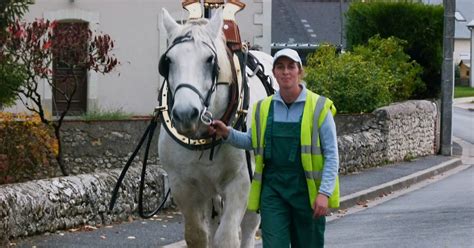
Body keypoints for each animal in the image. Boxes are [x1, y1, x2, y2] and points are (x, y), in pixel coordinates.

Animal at [159, 8, 276, 248]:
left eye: (209, 59)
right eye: (168, 61)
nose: (185, 114)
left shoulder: (241, 182)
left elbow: (227, 237)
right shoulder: (183, 185)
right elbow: (197, 235)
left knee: (249, 225)